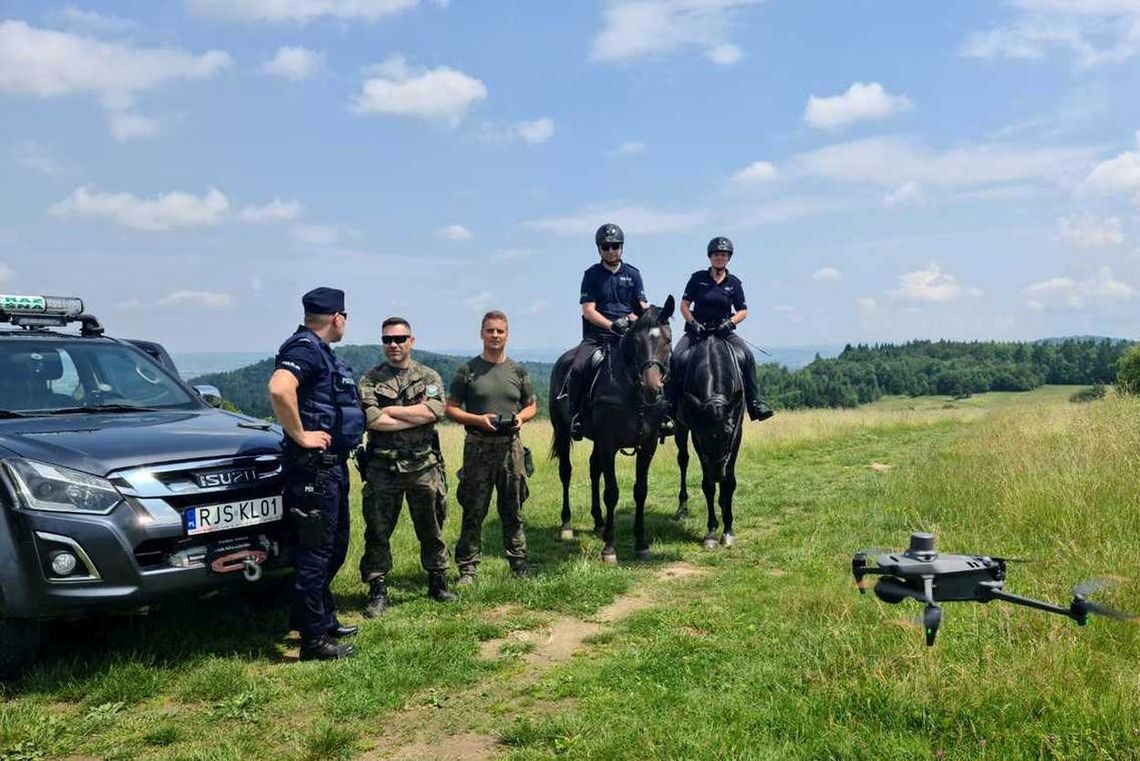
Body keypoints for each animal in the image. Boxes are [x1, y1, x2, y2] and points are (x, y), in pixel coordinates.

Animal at [547, 296, 670, 565]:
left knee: (594, 470)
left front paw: (641, 544)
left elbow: (640, 491)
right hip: (563, 431)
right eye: (636, 341)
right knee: (566, 472)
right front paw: (609, 548)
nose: (652, 390)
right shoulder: (609, 443)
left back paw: (599, 522)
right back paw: (567, 525)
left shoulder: (647, 446)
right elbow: (612, 492)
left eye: (667, 340)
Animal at [670, 330, 743, 546]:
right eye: (704, 437)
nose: (718, 473)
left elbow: (729, 484)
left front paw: (728, 530)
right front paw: (711, 531)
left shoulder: (737, 435)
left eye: (728, 433)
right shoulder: (696, 435)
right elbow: (708, 486)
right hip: (680, 429)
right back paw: (682, 509)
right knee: (683, 460)